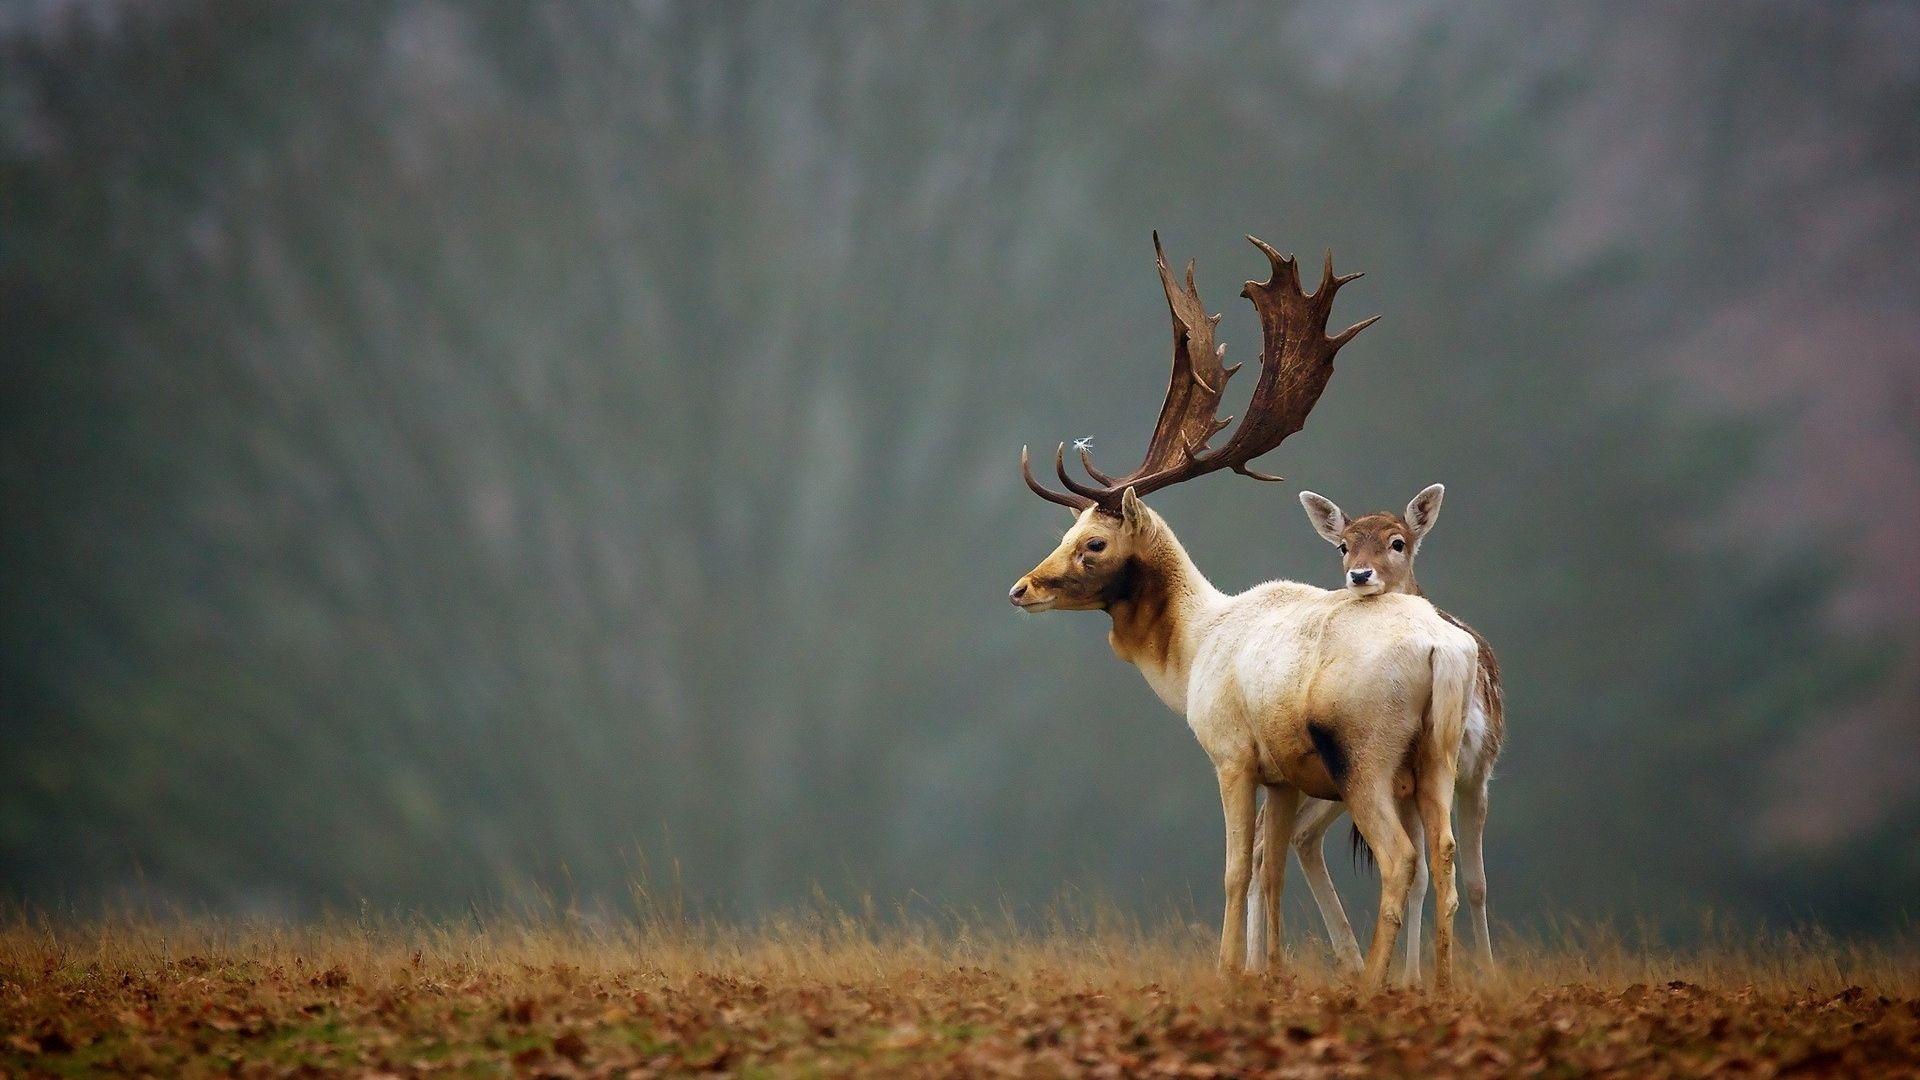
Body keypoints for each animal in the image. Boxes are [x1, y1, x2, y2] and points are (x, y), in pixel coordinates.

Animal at [1244, 484, 1505, 982]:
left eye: (1397, 542)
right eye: (1343, 545)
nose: (1360, 575)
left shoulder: (1479, 769)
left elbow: (1476, 881)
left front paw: (1482, 971)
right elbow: (1424, 875)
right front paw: (1412, 978)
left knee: (1293, 837)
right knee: (1273, 837)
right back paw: (1255, 966)